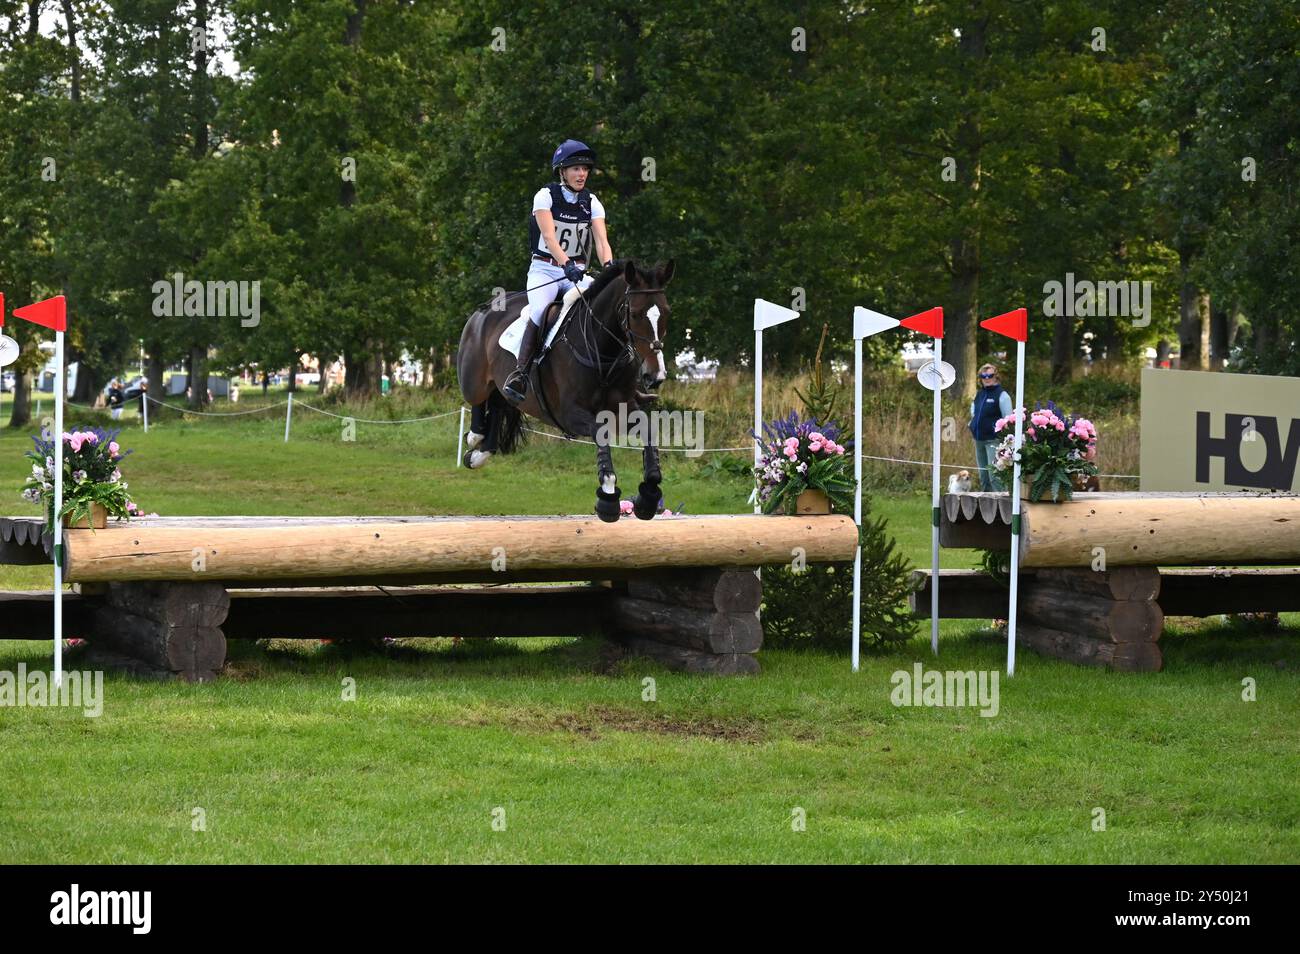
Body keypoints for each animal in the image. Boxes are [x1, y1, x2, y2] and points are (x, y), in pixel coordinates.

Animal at [457, 257, 676, 522]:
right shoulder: (570, 415)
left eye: (666, 313)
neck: (603, 352)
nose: (656, 376)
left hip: (502, 390)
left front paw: (648, 498)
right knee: (478, 398)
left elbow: (648, 430)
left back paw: (479, 454)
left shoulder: (624, 410)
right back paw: (474, 436)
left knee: (499, 406)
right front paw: (608, 497)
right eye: (634, 315)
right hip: (475, 380)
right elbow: (599, 432)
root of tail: (486, 308)